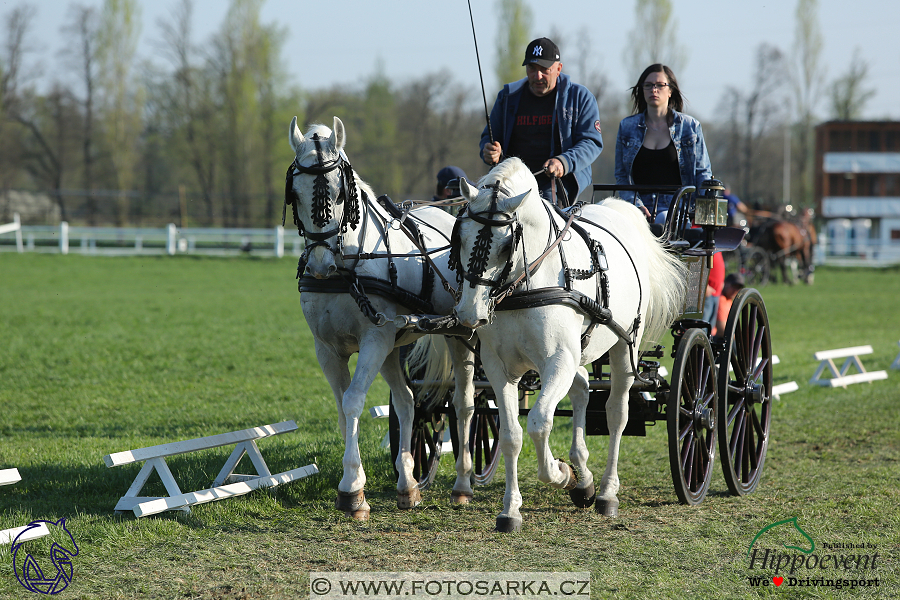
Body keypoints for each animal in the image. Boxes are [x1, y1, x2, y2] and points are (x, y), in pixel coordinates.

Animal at [288, 116, 478, 516]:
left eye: (340, 193)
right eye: (294, 194)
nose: (320, 265)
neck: (348, 269)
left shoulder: (373, 341)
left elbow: (353, 401)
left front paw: (351, 488)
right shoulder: (328, 349)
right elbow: (343, 408)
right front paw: (357, 482)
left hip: (459, 335)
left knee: (465, 404)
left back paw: (463, 483)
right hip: (393, 345)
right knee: (406, 401)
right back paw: (408, 483)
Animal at [454, 157, 684, 532]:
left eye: (505, 245)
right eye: (459, 236)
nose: (469, 314)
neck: (528, 283)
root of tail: (618, 210)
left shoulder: (558, 360)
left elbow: (539, 423)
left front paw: (562, 474)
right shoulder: (499, 367)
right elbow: (511, 435)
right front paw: (511, 510)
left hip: (625, 349)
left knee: (616, 413)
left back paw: (605, 492)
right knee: (582, 388)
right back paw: (586, 476)